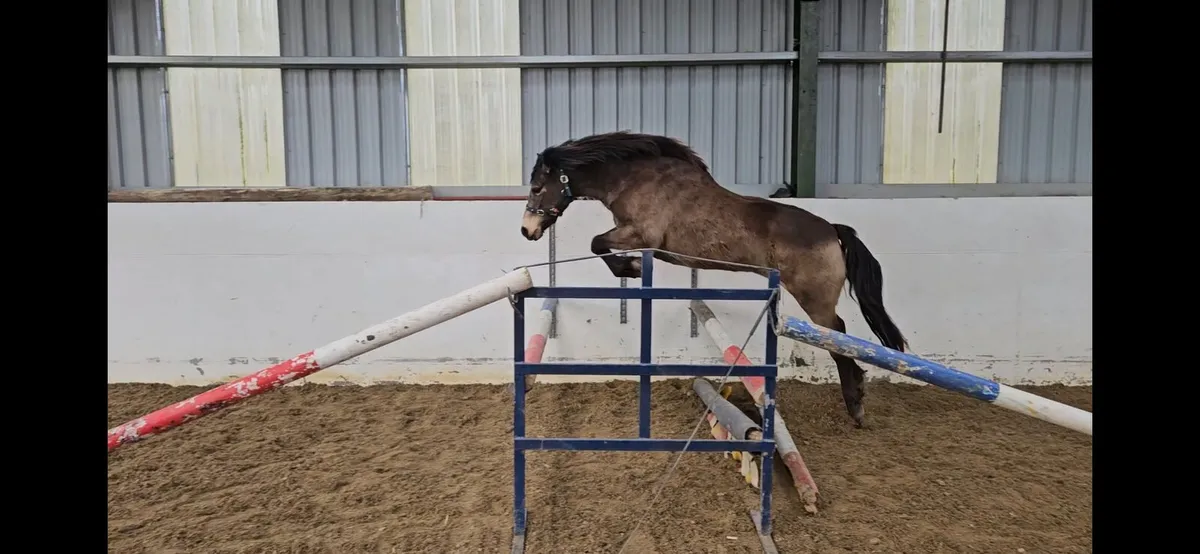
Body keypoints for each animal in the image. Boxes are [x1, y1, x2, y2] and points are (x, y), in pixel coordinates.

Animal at [519, 131, 908, 428]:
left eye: (537, 187)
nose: (527, 230)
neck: (635, 179)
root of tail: (832, 230)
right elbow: (599, 244)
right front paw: (631, 268)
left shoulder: (640, 235)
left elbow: (597, 242)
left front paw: (629, 268)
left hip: (815, 300)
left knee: (838, 335)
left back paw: (855, 402)